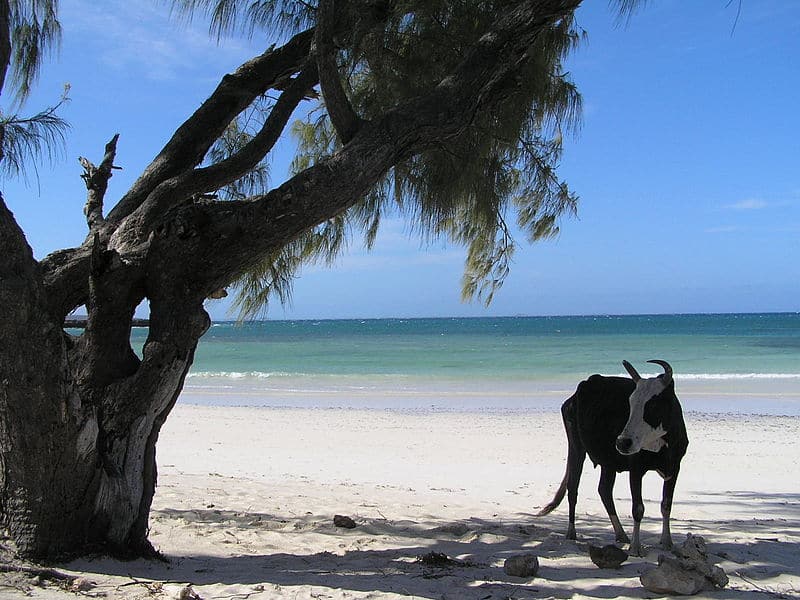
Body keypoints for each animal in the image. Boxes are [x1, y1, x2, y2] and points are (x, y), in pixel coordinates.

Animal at [540, 358, 692, 556]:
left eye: (652, 404)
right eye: (631, 403)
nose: (622, 442)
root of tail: (580, 389)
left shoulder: (674, 468)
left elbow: (666, 505)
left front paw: (667, 542)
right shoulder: (636, 469)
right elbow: (638, 508)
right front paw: (635, 547)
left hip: (608, 462)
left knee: (604, 490)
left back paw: (621, 534)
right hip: (576, 447)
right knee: (573, 488)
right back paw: (571, 532)